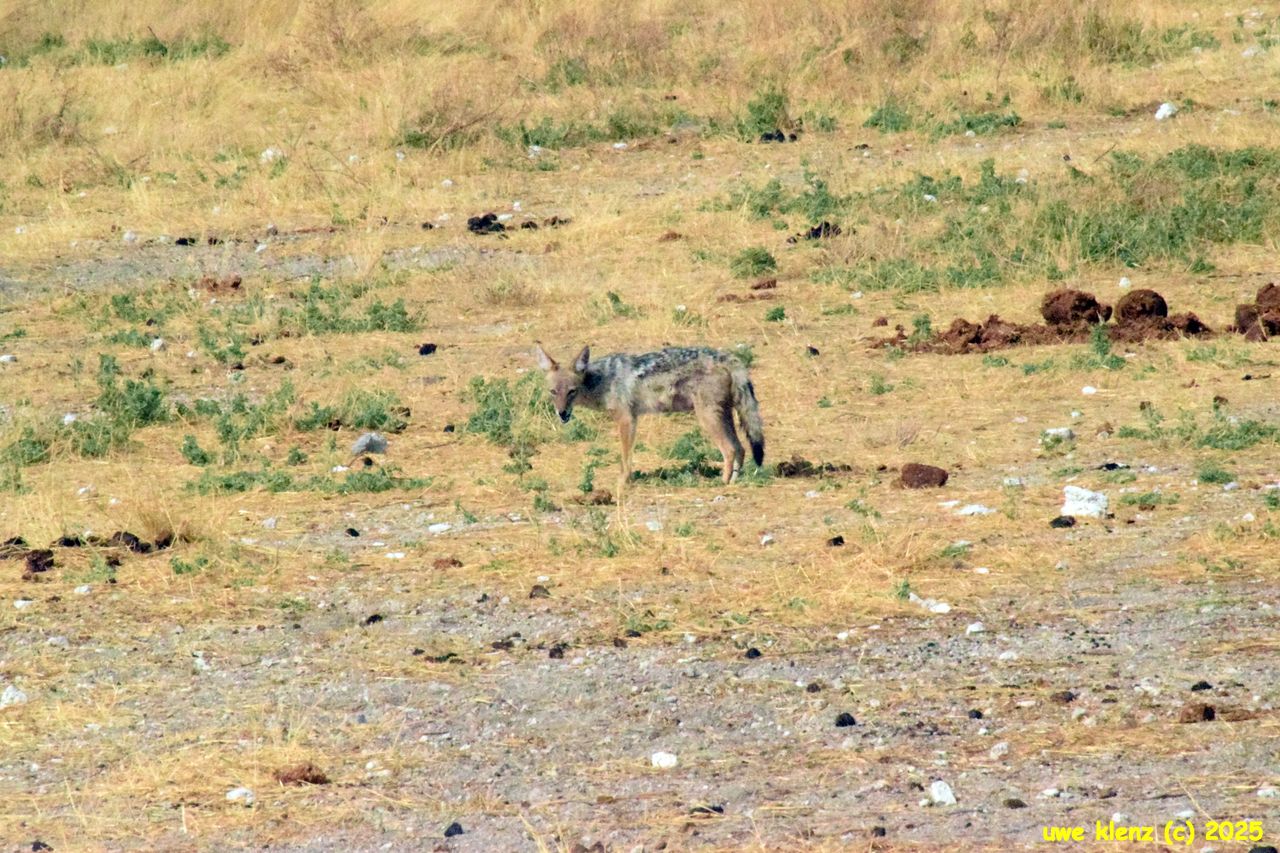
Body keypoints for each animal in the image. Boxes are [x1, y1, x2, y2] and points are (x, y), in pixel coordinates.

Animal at [534, 343, 765, 486]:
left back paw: (721, 482)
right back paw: (734, 482)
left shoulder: (627, 420)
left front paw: (623, 482)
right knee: (741, 449)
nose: (562, 414)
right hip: (724, 416)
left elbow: (625, 457)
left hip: (708, 419)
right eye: (553, 392)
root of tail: (727, 356)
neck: (602, 380)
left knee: (730, 450)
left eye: (572, 391)